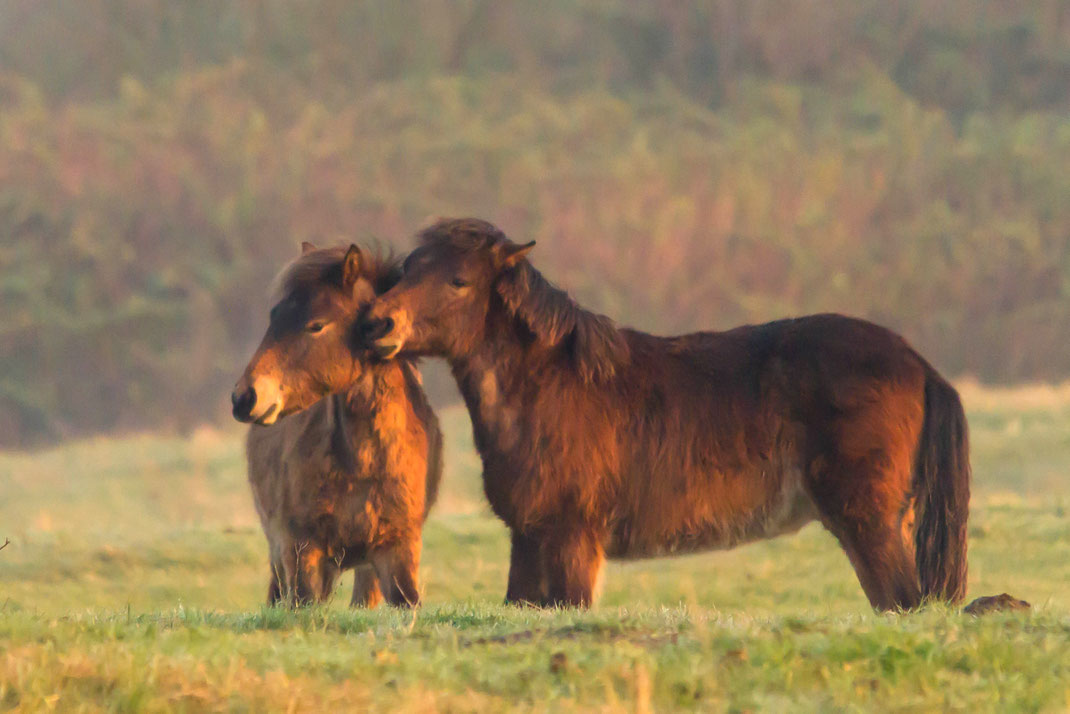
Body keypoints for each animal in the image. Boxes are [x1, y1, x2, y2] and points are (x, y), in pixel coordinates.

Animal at [231, 242, 442, 607]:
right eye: (275, 317)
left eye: (316, 325)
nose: (245, 396)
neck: (363, 464)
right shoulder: (303, 552)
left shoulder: (397, 550)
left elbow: (408, 601)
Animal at [357, 218, 970, 611]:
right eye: (405, 271)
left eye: (458, 280)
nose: (376, 324)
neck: (551, 384)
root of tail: (917, 362)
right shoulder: (529, 540)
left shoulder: (571, 540)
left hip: (867, 523)